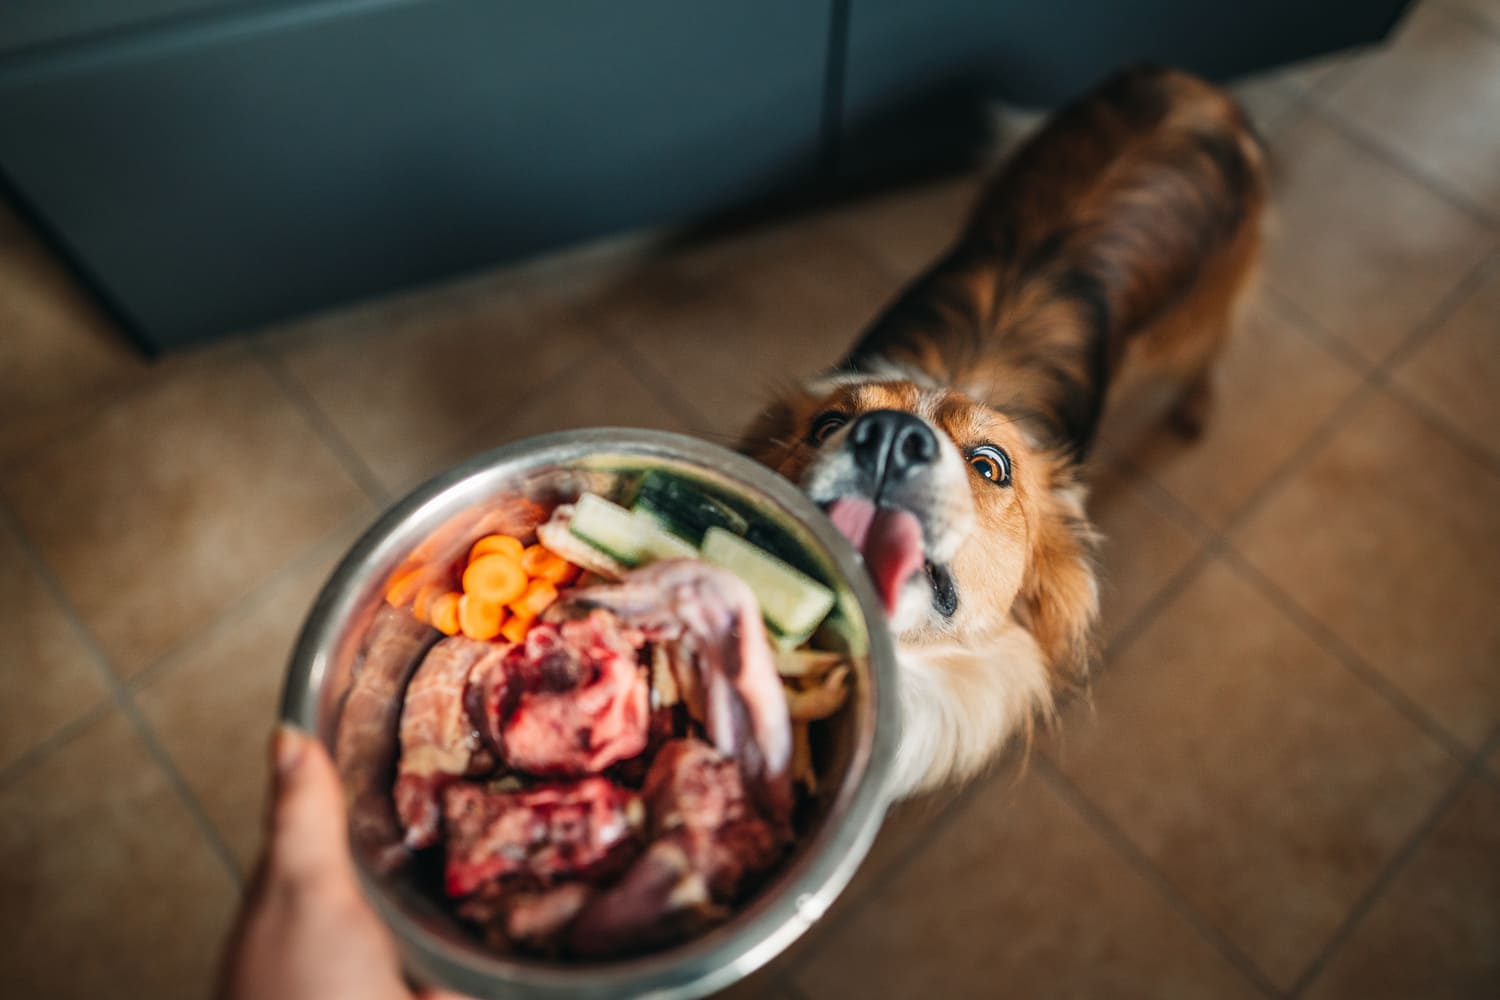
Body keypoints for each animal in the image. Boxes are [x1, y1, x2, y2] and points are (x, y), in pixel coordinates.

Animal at [738, 64, 1266, 797]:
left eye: (991, 465)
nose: (890, 437)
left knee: (1213, 342)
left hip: (1191, 317)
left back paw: (1197, 406)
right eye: (829, 423)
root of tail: (1192, 85)